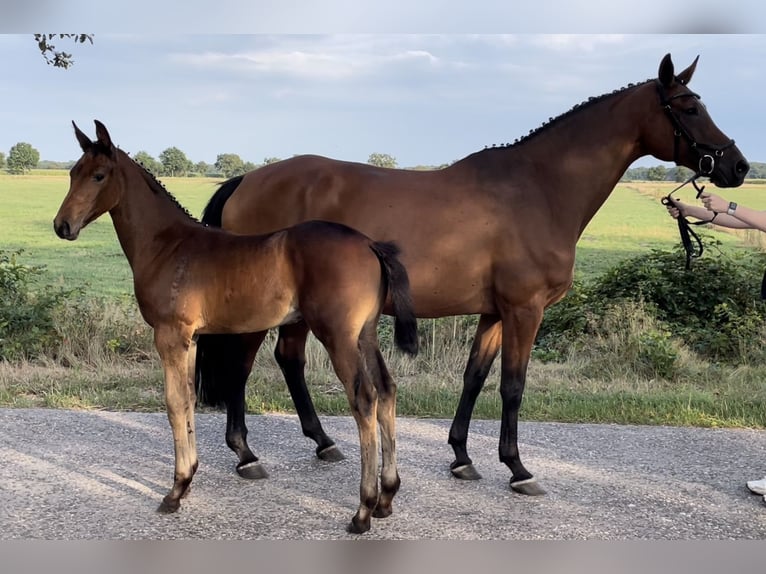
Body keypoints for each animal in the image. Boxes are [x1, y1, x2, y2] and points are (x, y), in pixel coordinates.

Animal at [54, 120, 420, 536]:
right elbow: (188, 400)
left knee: (365, 399)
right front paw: (188, 479)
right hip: (366, 335)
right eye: (72, 173)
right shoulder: (191, 339)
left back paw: (362, 510)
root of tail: (370, 245)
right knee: (387, 390)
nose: (62, 226)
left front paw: (175, 491)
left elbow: (174, 403)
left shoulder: (170, 335)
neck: (168, 246)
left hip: (338, 336)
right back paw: (386, 498)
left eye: (99, 175)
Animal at [196, 51, 752, 498]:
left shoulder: (495, 312)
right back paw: (245, 455)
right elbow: (512, 385)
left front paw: (462, 457)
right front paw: (518, 469)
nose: (739, 167)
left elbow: (475, 377)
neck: (539, 189)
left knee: (287, 359)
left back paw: (323, 442)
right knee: (243, 366)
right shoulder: (525, 310)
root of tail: (248, 178)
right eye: (689, 108)